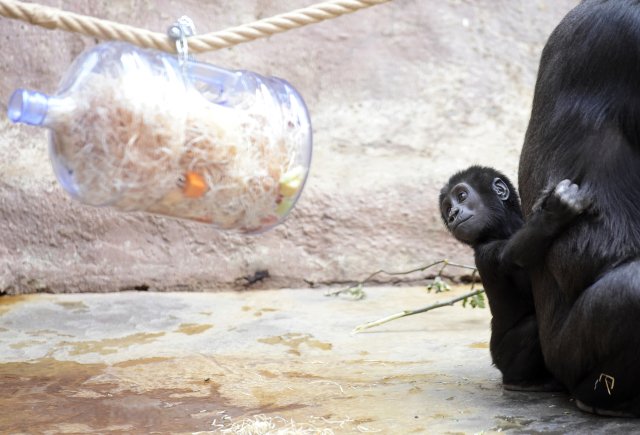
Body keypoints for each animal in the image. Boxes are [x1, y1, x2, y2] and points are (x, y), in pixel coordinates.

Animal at [440, 167, 592, 392]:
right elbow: (515, 255)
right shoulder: (488, 252)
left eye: (461, 196)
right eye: (448, 207)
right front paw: (555, 213)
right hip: (503, 359)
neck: (504, 227)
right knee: (532, 327)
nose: (452, 214)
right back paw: (522, 382)